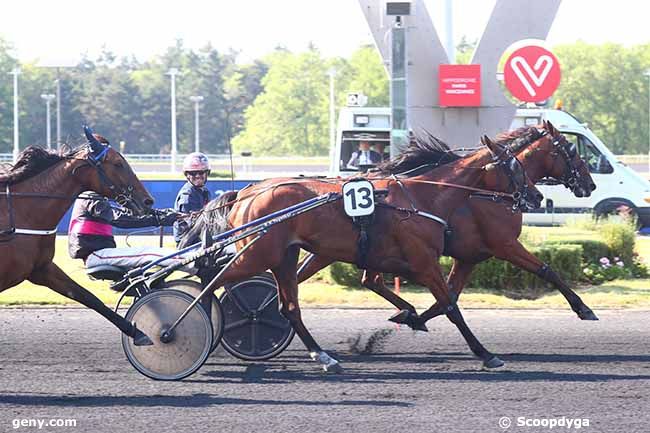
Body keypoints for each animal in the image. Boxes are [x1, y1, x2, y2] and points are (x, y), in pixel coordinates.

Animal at [0, 125, 154, 344]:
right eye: (118, 164)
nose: (148, 201)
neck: (19, 214)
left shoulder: (42, 269)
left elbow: (87, 296)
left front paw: (137, 331)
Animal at [180, 136, 540, 372]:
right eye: (515, 166)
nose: (536, 197)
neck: (422, 197)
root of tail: (247, 191)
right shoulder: (423, 260)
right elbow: (451, 306)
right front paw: (486, 354)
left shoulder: (404, 259)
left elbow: (425, 296)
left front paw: (408, 316)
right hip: (259, 254)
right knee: (213, 282)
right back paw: (182, 327)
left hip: (284, 256)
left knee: (287, 307)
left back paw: (323, 357)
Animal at [296, 118, 596, 328]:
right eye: (571, 150)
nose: (590, 184)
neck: (485, 192)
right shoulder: (504, 244)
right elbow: (546, 270)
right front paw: (584, 308)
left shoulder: (469, 256)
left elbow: (448, 297)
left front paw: (414, 318)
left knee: (366, 279)